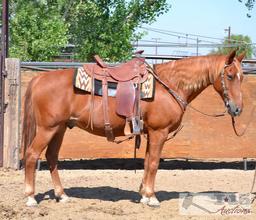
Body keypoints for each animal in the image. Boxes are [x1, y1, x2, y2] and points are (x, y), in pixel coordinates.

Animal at [23, 49, 245, 206]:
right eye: (230, 75)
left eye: (242, 77)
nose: (237, 108)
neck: (170, 85)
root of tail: (39, 78)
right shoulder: (159, 133)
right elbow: (154, 163)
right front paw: (152, 197)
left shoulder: (150, 134)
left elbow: (147, 162)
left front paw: (144, 194)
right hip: (47, 129)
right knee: (32, 155)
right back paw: (31, 197)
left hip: (59, 128)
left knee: (52, 157)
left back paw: (61, 195)